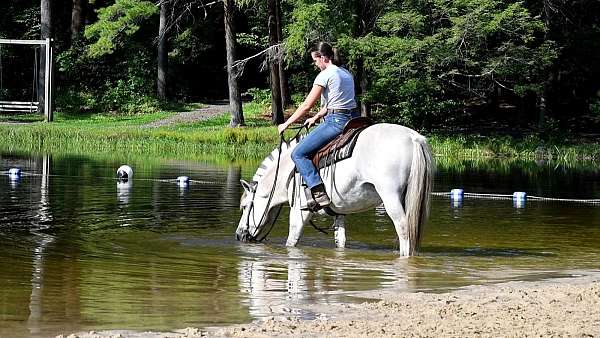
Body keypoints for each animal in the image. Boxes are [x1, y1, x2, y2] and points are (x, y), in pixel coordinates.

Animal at [236, 123, 436, 256]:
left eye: (245, 207)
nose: (238, 235)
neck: (289, 171)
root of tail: (412, 138)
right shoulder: (339, 213)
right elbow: (341, 241)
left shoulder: (299, 211)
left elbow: (291, 241)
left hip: (391, 198)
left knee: (403, 229)